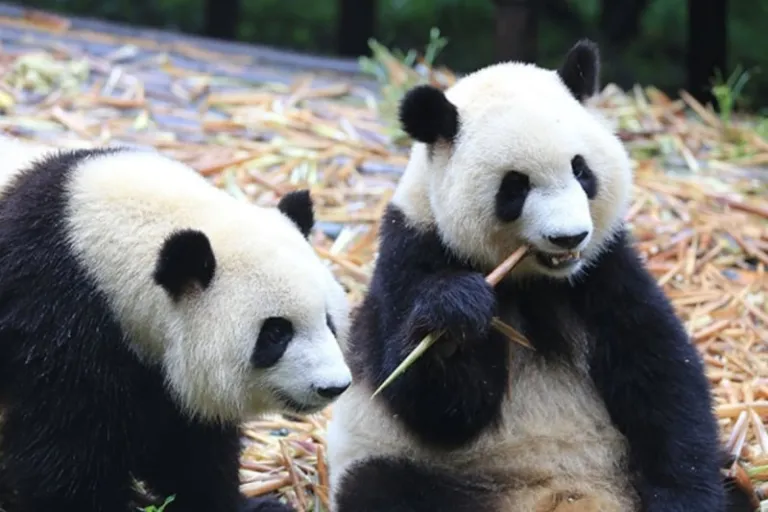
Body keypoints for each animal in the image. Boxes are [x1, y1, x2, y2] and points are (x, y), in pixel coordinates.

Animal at [0, 140, 352, 512]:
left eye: (329, 321)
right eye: (276, 333)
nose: (333, 386)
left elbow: (187, 446)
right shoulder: (57, 315)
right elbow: (67, 445)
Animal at [325, 40, 754, 512]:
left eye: (581, 170)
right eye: (515, 186)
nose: (569, 237)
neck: (533, 281)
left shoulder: (603, 269)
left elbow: (659, 374)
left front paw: (684, 495)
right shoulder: (411, 255)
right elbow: (436, 406)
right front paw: (455, 317)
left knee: (733, 483)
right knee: (381, 485)